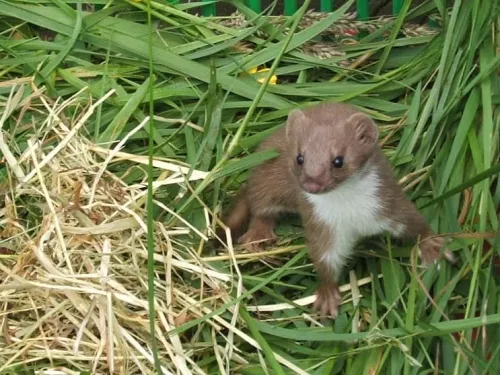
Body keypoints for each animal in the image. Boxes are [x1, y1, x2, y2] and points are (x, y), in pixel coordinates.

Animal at [219, 101, 454, 318]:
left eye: (338, 160)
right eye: (299, 157)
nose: (312, 183)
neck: (350, 212)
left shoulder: (389, 204)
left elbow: (414, 222)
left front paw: (433, 247)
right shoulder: (323, 226)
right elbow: (324, 257)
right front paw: (327, 296)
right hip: (266, 182)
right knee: (259, 207)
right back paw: (258, 235)